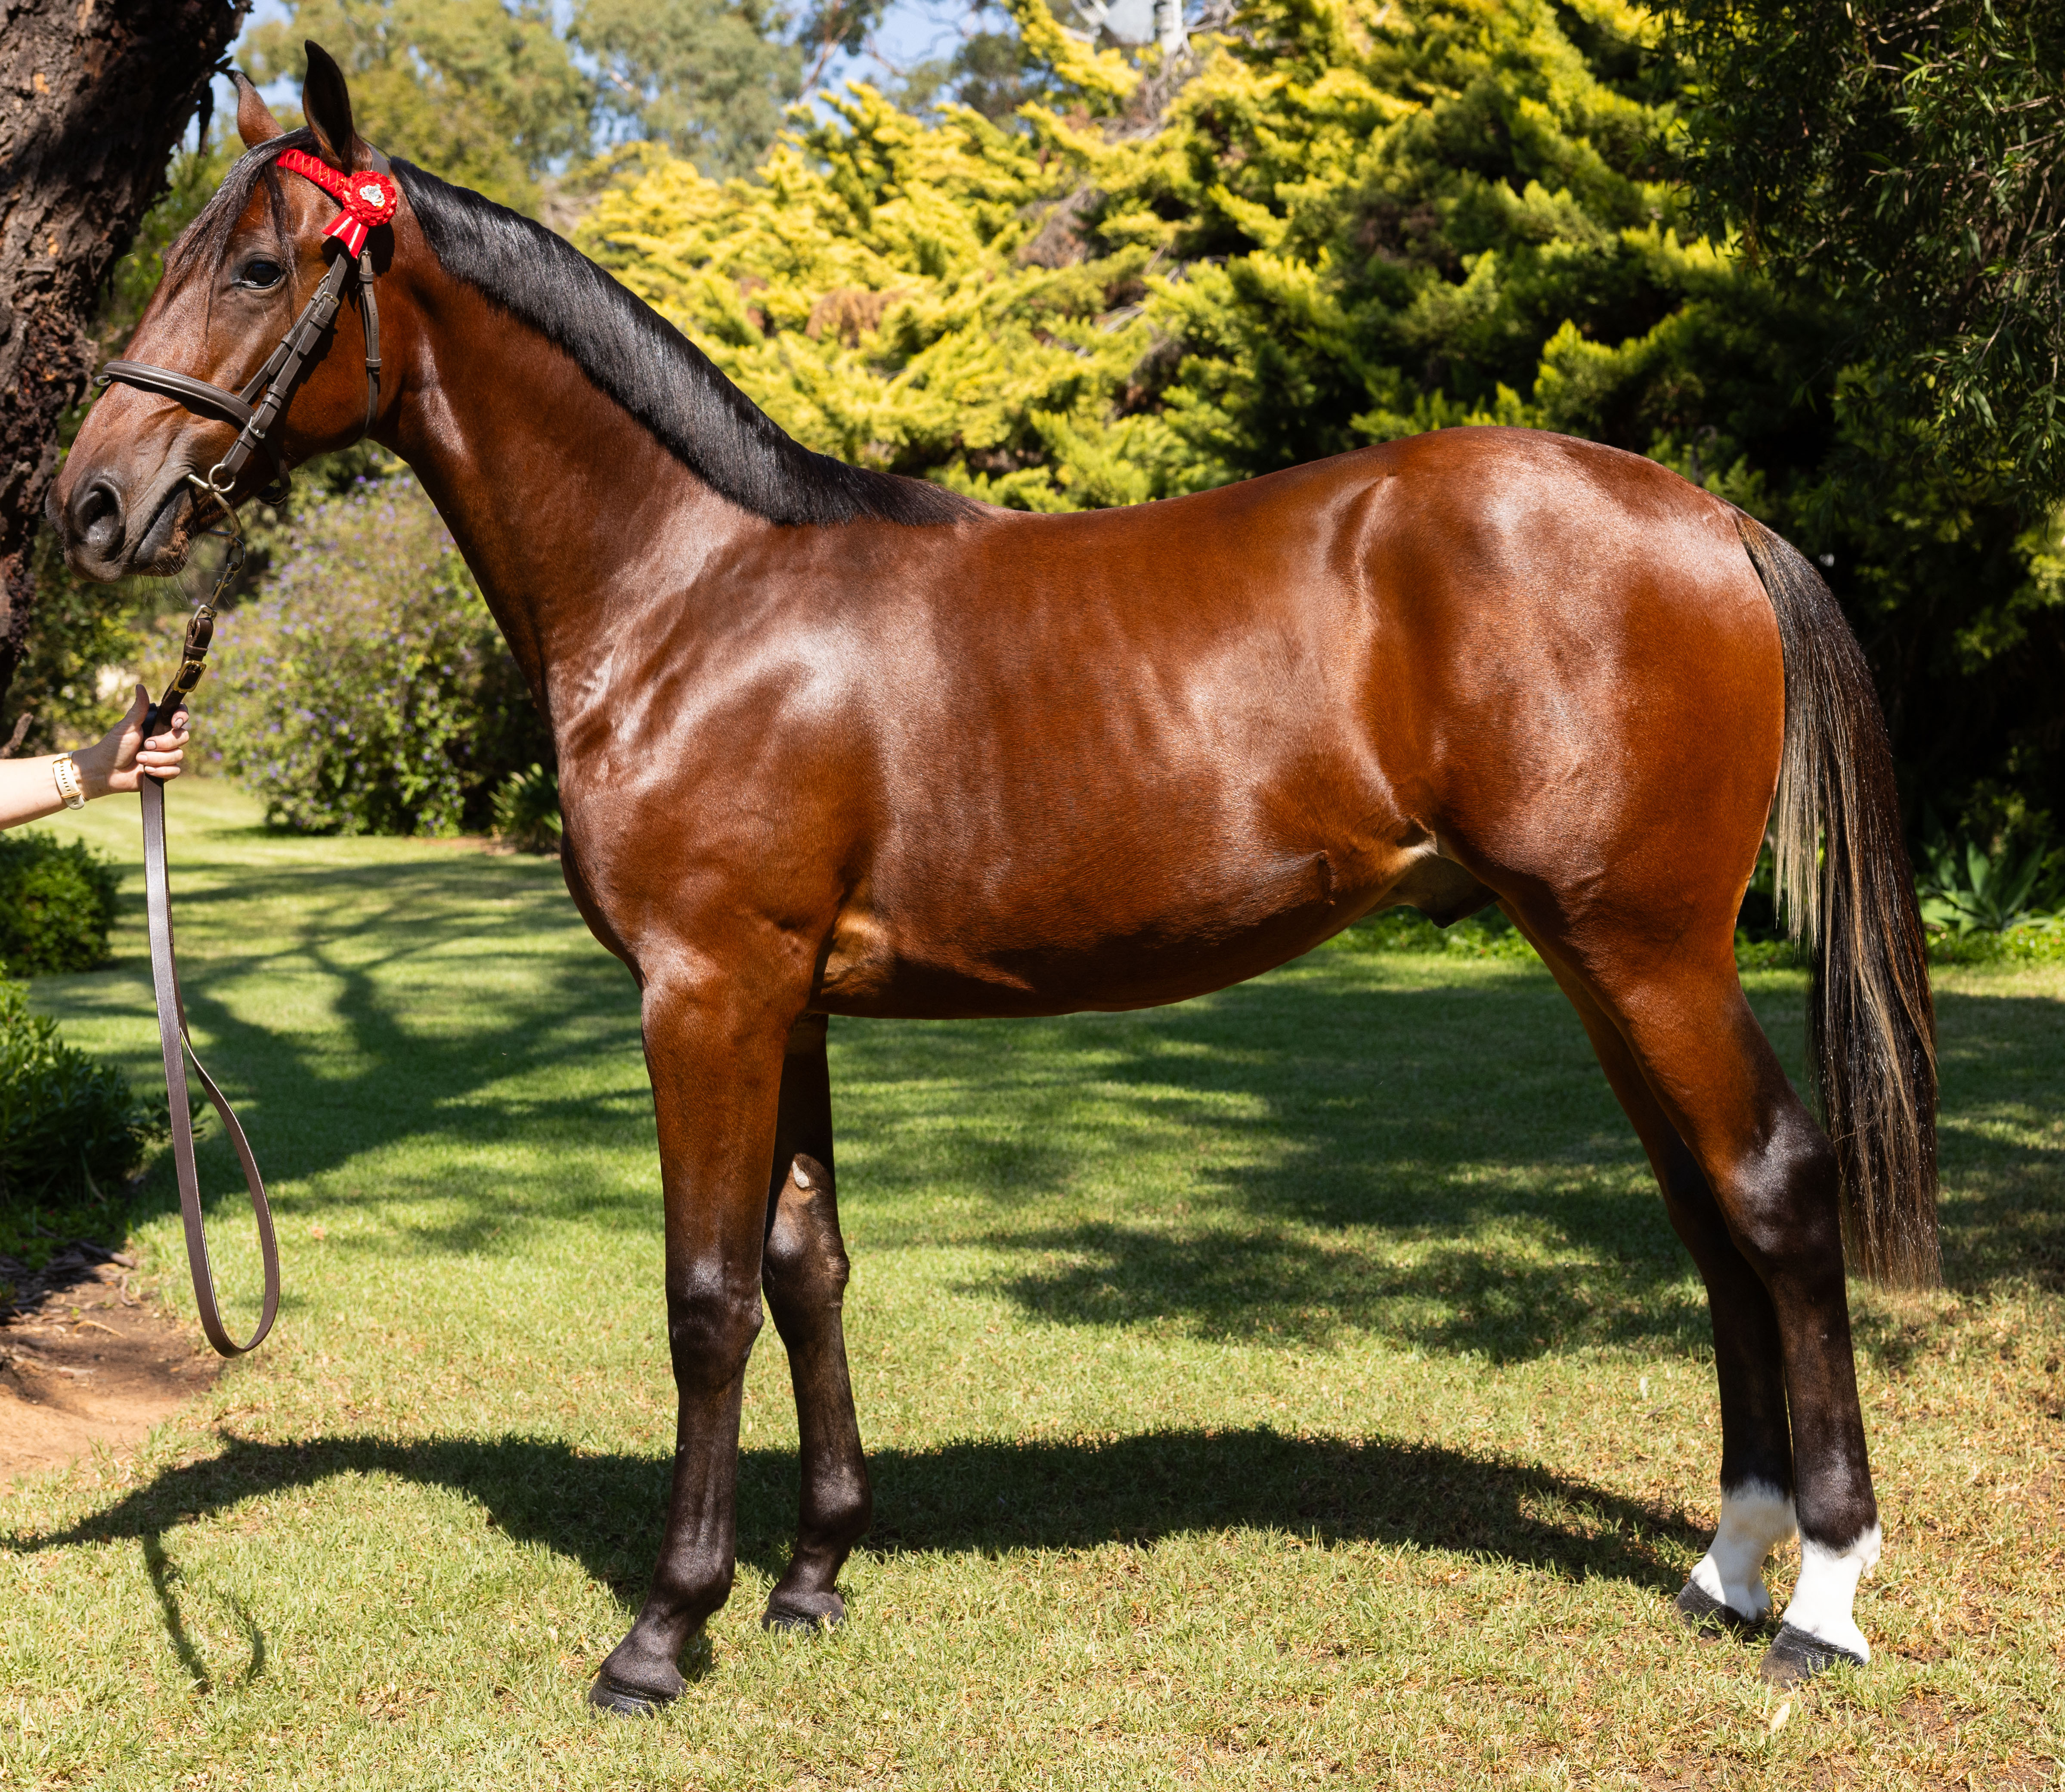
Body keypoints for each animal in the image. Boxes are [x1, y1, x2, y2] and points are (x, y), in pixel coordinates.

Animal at [49, 46, 1937, 1712]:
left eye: (258, 266)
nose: (91, 507)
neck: (690, 593)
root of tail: (1708, 518)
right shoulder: (785, 997)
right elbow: (805, 1264)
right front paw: (811, 1572)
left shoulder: (702, 990)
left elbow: (705, 1297)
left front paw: (662, 1630)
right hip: (1594, 951)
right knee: (1703, 1210)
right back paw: (1726, 1561)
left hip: (1649, 946)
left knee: (1773, 1188)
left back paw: (1819, 1598)